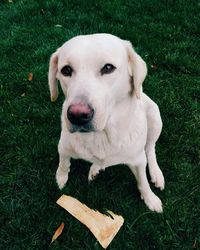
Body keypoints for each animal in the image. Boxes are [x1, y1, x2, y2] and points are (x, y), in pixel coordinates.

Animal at [48, 33, 164, 213]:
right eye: (66, 70)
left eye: (108, 68)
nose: (77, 115)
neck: (102, 135)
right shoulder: (63, 147)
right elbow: (63, 163)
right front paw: (60, 178)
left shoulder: (138, 160)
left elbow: (143, 182)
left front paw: (150, 198)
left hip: (154, 116)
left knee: (150, 149)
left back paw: (156, 173)